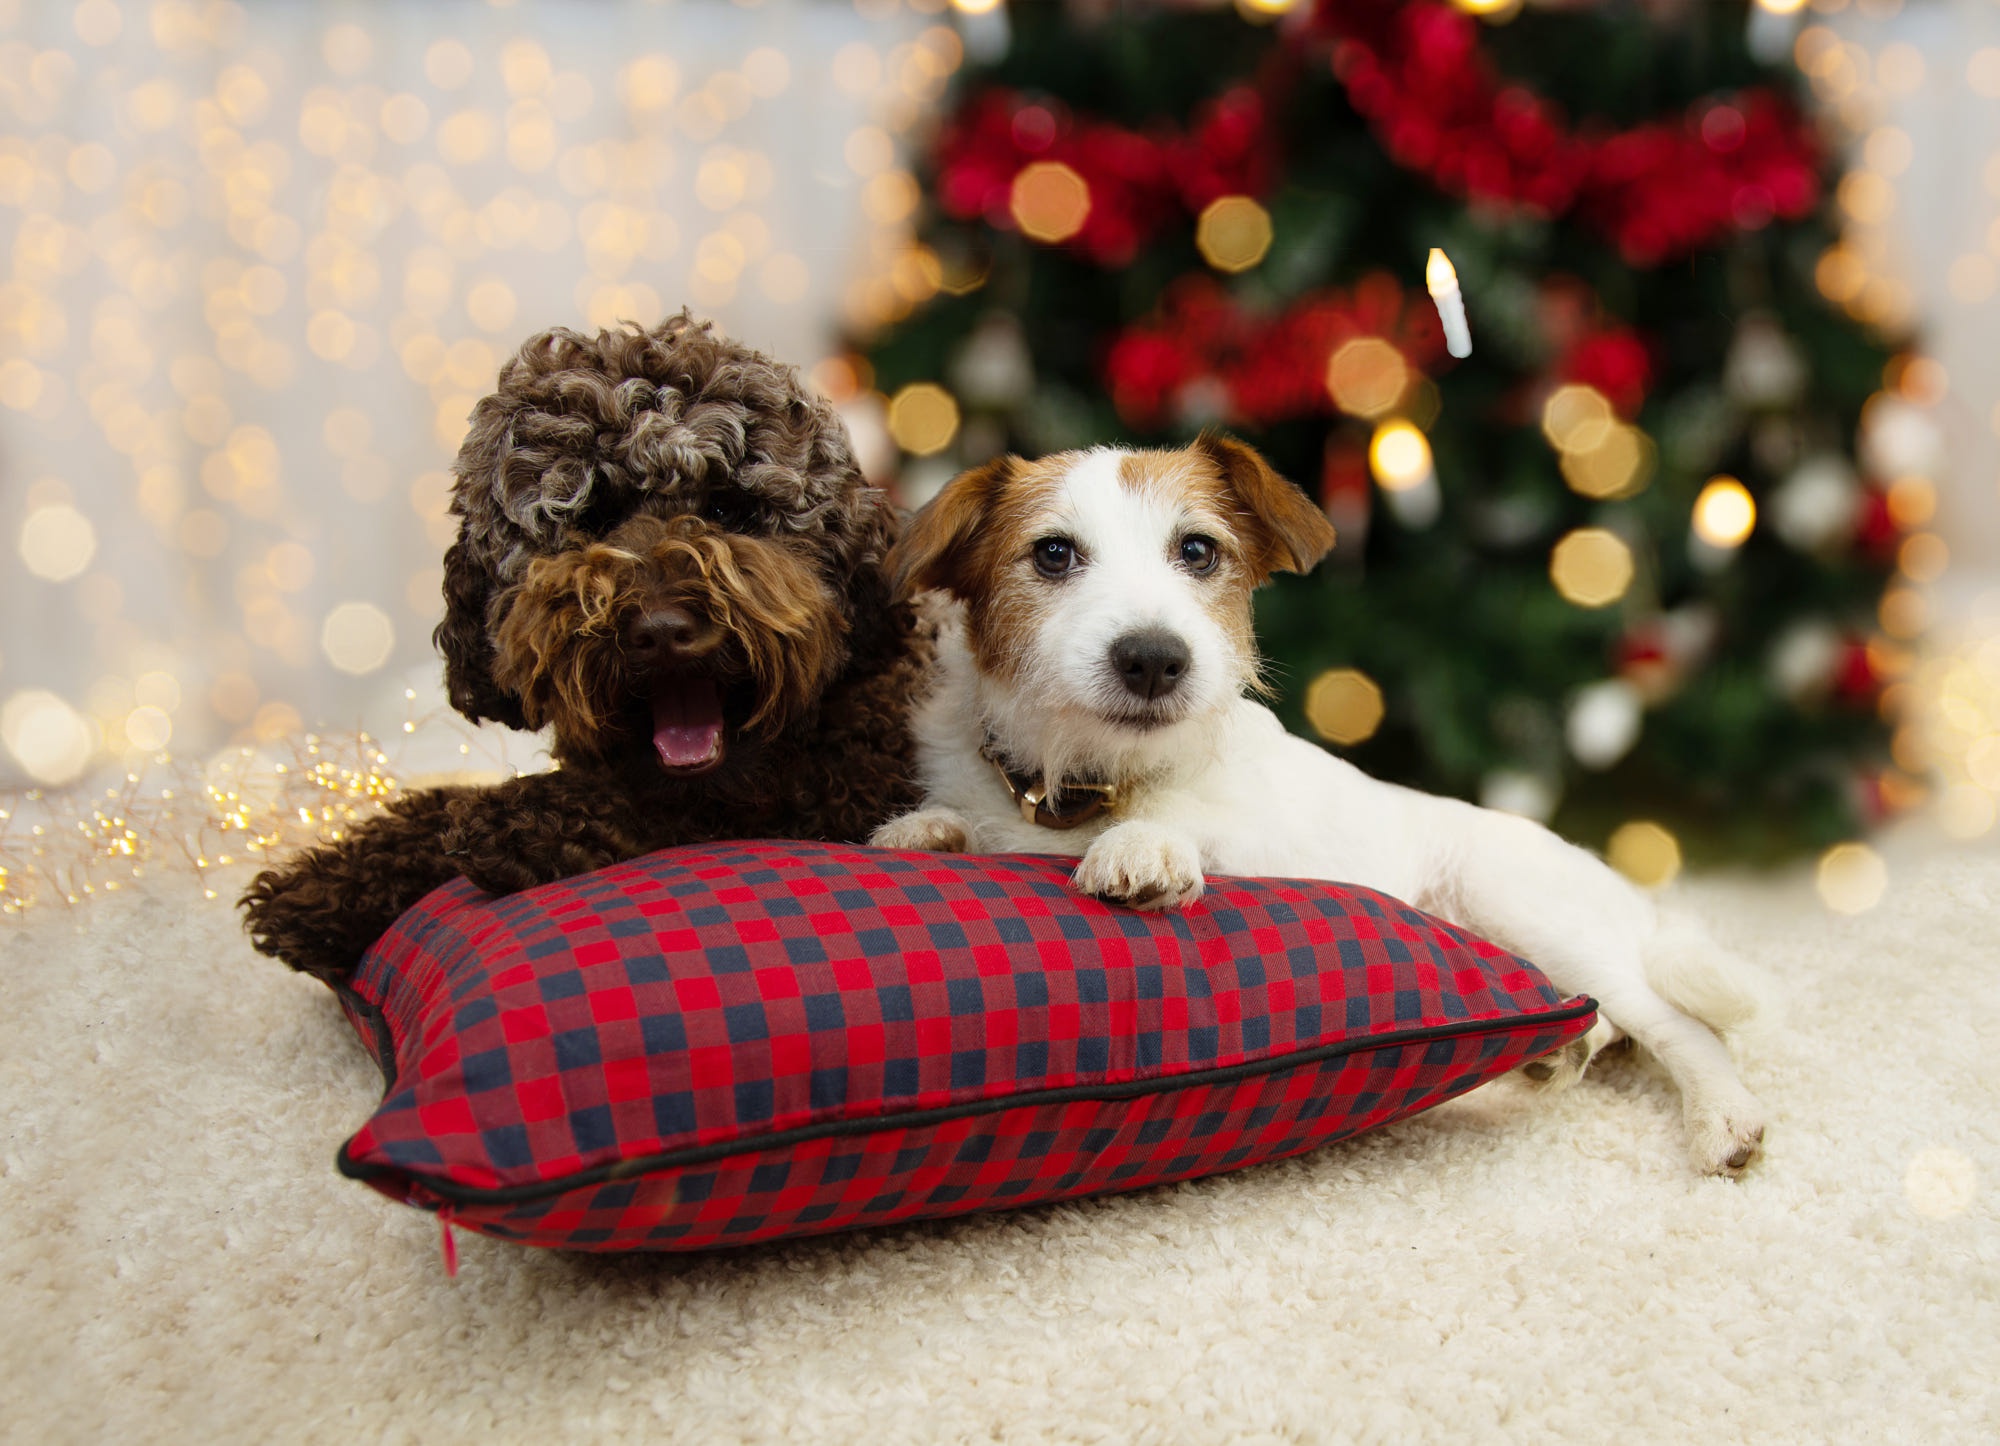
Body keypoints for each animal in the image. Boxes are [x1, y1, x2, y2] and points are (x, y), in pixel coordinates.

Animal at [246, 314, 932, 984]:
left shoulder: (848, 781)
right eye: (594, 517)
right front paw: (332, 883)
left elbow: (697, 800)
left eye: (727, 509)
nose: (662, 631)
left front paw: (523, 821)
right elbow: (440, 801)